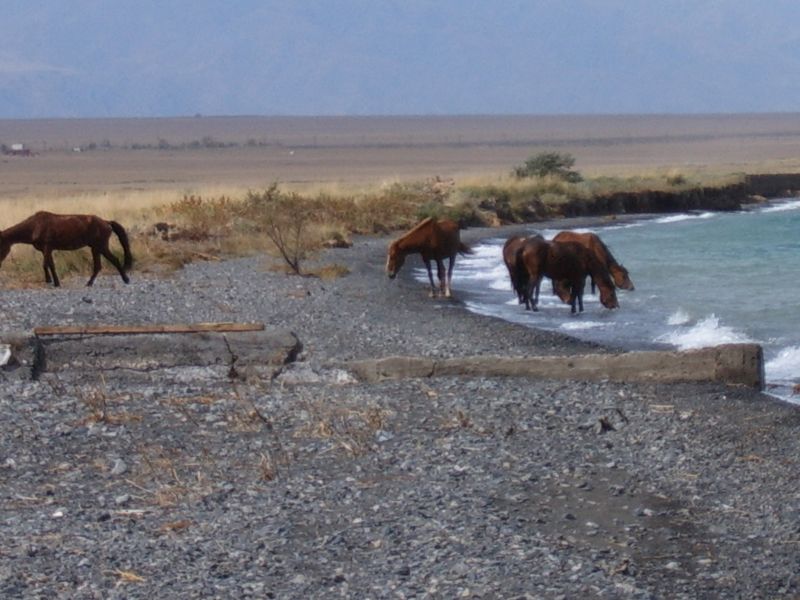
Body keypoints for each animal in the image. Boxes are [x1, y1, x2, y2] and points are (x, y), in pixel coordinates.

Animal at [0, 211, 133, 287]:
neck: (35, 225)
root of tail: (106, 222)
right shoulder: (47, 250)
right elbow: (50, 265)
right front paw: (55, 282)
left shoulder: (47, 247)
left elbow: (45, 265)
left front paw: (49, 280)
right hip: (95, 248)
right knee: (98, 266)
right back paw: (89, 283)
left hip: (101, 246)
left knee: (114, 260)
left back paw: (126, 279)